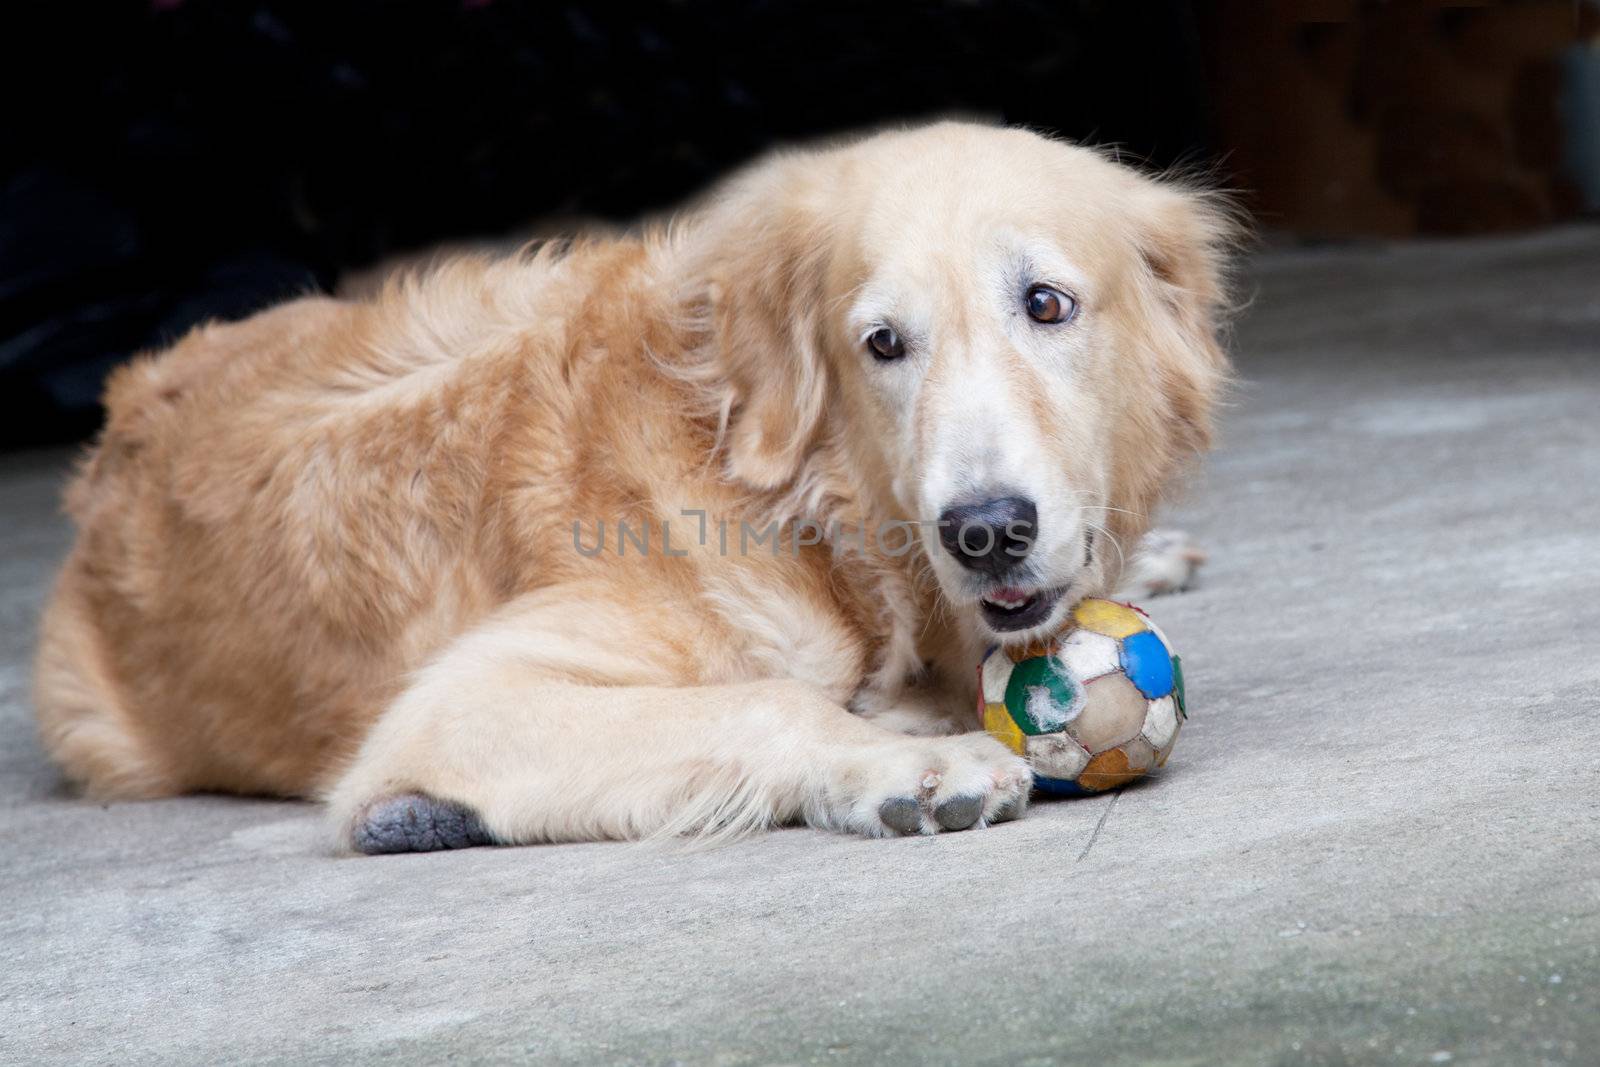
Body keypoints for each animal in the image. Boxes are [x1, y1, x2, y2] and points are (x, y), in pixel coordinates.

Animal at [28, 119, 1235, 851]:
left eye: (1046, 303)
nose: (984, 532)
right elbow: (766, 696)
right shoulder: (459, 704)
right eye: (883, 343)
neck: (820, 523)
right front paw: (909, 760)